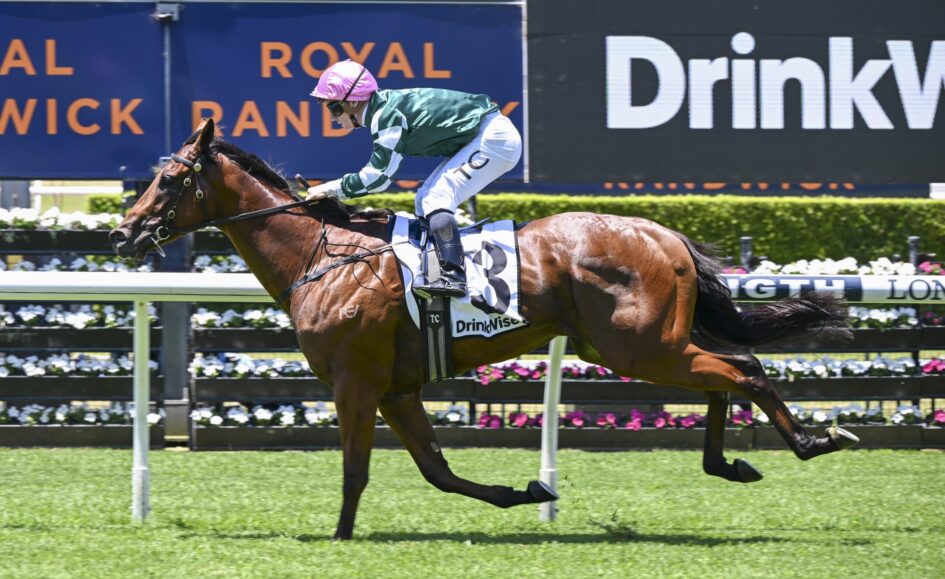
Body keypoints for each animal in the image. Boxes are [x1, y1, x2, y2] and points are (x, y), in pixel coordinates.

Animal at [110, 119, 858, 540]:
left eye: (168, 180)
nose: (123, 233)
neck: (321, 256)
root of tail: (664, 232)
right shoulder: (396, 387)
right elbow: (437, 470)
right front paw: (525, 491)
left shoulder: (355, 379)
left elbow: (356, 468)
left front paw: (341, 537)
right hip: (640, 345)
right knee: (721, 377)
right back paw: (729, 460)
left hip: (639, 345)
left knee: (741, 370)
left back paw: (815, 438)